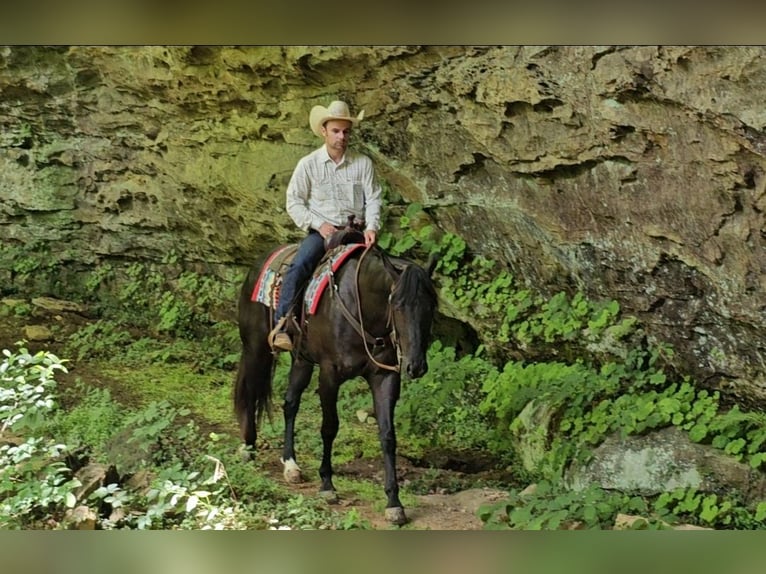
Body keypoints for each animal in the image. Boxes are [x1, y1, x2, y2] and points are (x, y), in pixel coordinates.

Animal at [234, 241, 438, 528]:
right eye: (397, 305)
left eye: (430, 306)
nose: (416, 366)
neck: (363, 309)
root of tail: (258, 264)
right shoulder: (329, 374)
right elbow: (329, 427)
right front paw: (327, 485)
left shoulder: (384, 377)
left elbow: (388, 436)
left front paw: (394, 503)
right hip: (256, 348)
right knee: (251, 391)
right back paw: (249, 447)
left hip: (301, 360)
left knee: (290, 403)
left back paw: (291, 465)